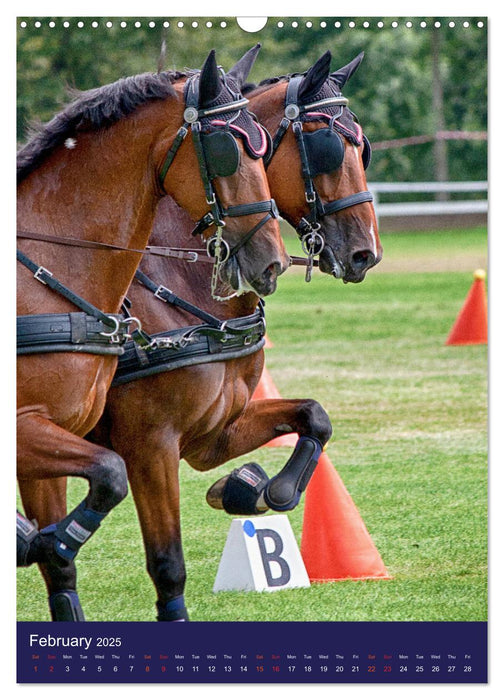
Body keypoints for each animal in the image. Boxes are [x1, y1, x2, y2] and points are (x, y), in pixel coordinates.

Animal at [15, 46, 288, 620]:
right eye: (227, 151)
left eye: (265, 148)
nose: (271, 262)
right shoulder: (145, 443)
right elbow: (117, 493)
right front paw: (34, 539)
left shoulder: (202, 436)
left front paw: (247, 488)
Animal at [86, 49, 382, 620]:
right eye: (328, 147)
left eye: (365, 146)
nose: (365, 253)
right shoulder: (150, 444)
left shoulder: (211, 433)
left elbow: (315, 417)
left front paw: (249, 489)